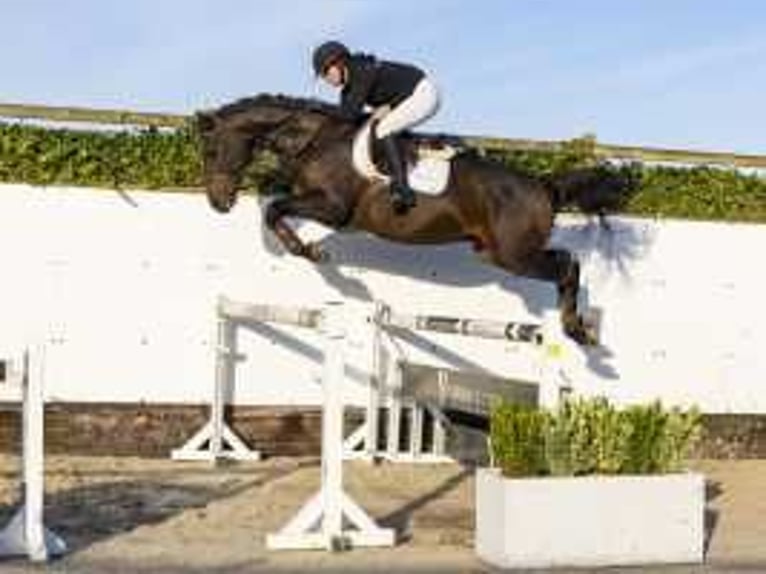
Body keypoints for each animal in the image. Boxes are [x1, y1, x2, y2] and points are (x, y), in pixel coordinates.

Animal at [196, 94, 636, 346]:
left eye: (212, 150)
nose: (218, 202)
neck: (315, 139)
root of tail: (543, 185)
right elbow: (274, 203)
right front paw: (301, 244)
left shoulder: (334, 209)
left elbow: (276, 210)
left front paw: (309, 251)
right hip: (494, 252)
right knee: (565, 262)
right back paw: (574, 325)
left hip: (514, 255)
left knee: (568, 265)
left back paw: (575, 328)